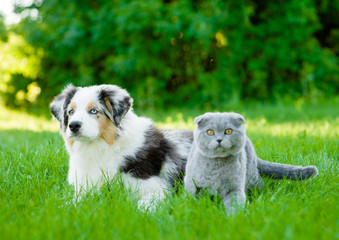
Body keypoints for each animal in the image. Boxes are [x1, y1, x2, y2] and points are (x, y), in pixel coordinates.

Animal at [50, 84, 194, 206]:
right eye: (71, 112)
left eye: (94, 111)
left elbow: (141, 207)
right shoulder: (84, 188)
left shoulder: (156, 188)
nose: (73, 125)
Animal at [185, 112, 320, 214]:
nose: (219, 139)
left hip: (251, 176)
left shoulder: (235, 187)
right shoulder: (192, 182)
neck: (217, 165)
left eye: (228, 131)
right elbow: (191, 196)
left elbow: (234, 204)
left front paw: (232, 219)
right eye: (210, 132)